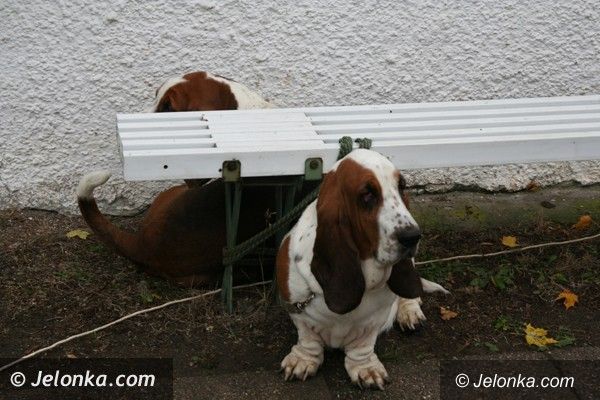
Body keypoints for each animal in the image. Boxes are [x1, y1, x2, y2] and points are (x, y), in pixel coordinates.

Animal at [275, 149, 449, 389]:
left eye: (402, 186)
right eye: (367, 194)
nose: (413, 236)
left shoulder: (373, 321)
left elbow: (363, 345)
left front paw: (366, 368)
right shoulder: (297, 308)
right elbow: (308, 337)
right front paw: (303, 359)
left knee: (409, 293)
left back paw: (410, 312)